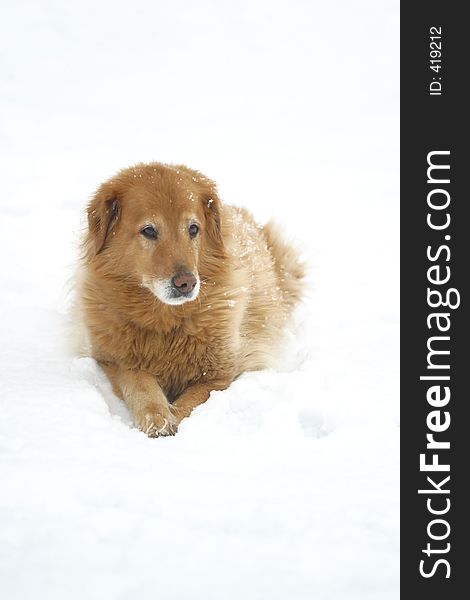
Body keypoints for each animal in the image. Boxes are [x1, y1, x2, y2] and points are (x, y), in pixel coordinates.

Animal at [77, 163, 302, 436]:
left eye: (193, 229)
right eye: (149, 230)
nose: (186, 283)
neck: (165, 321)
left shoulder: (220, 375)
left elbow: (190, 403)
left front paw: (172, 416)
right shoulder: (114, 360)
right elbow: (138, 382)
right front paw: (156, 416)